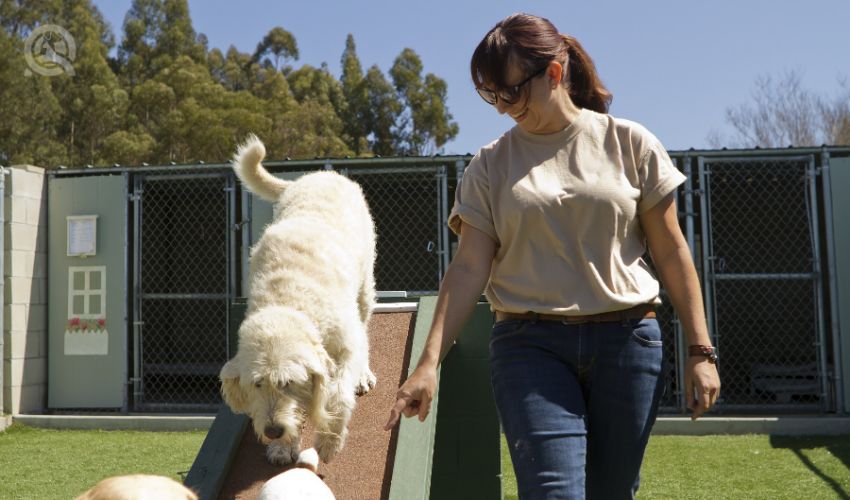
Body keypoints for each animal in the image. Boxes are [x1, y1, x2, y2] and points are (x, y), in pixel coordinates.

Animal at [220, 134, 376, 464]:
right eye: (258, 383)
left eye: (288, 383)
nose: (273, 431)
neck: (288, 299)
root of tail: (318, 175)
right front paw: (282, 447)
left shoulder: (346, 345)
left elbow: (338, 394)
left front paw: (329, 441)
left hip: (366, 285)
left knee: (365, 325)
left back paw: (365, 375)